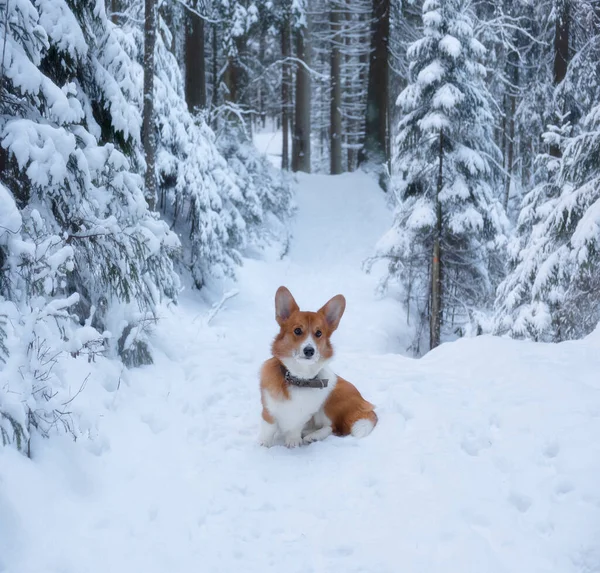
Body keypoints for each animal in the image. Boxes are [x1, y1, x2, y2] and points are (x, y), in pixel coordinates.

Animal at [258, 286, 380, 446]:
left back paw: (312, 436)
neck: (300, 378)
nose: (309, 350)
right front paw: (264, 445)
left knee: (332, 427)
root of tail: (364, 402)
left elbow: (296, 427)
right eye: (297, 330)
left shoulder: (304, 415)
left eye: (319, 333)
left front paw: (293, 441)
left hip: (331, 398)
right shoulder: (269, 410)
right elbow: (269, 428)